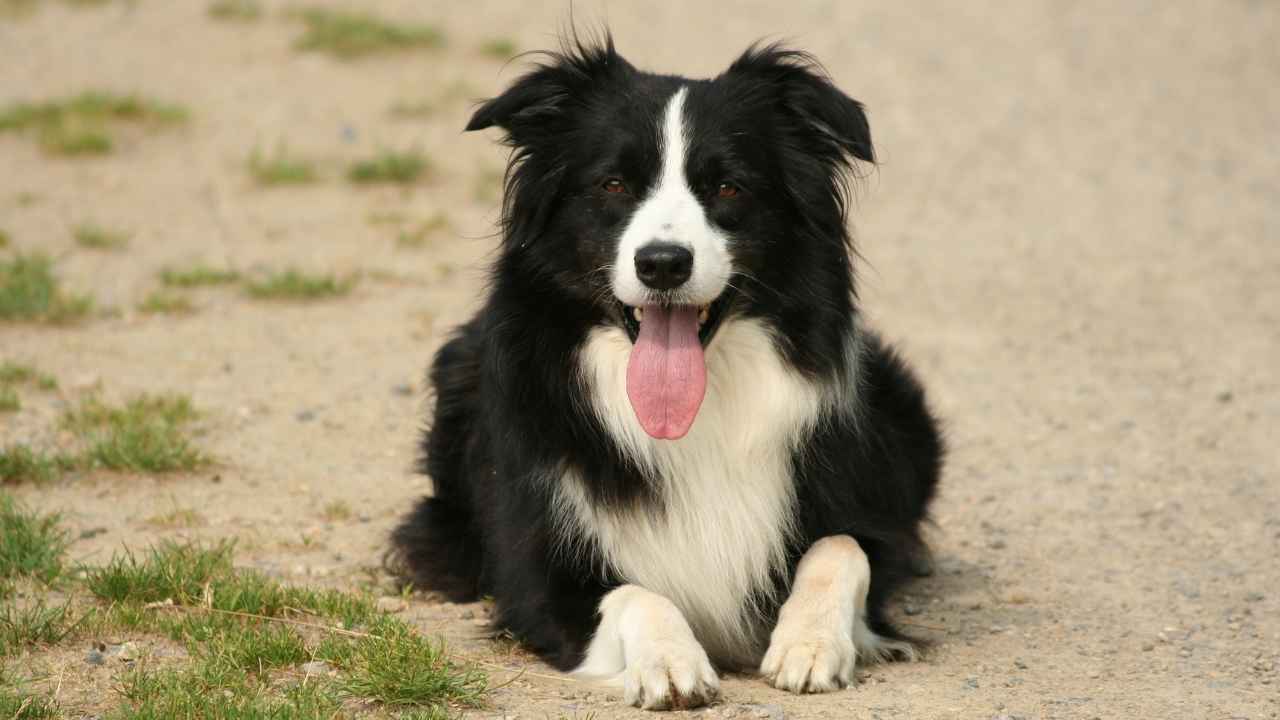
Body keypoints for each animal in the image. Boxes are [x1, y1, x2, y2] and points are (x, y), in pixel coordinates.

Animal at [394, 33, 947, 707]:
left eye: (729, 188)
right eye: (612, 184)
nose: (662, 263)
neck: (699, 415)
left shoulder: (857, 509)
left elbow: (842, 547)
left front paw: (810, 644)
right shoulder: (535, 575)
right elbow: (633, 593)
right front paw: (671, 660)